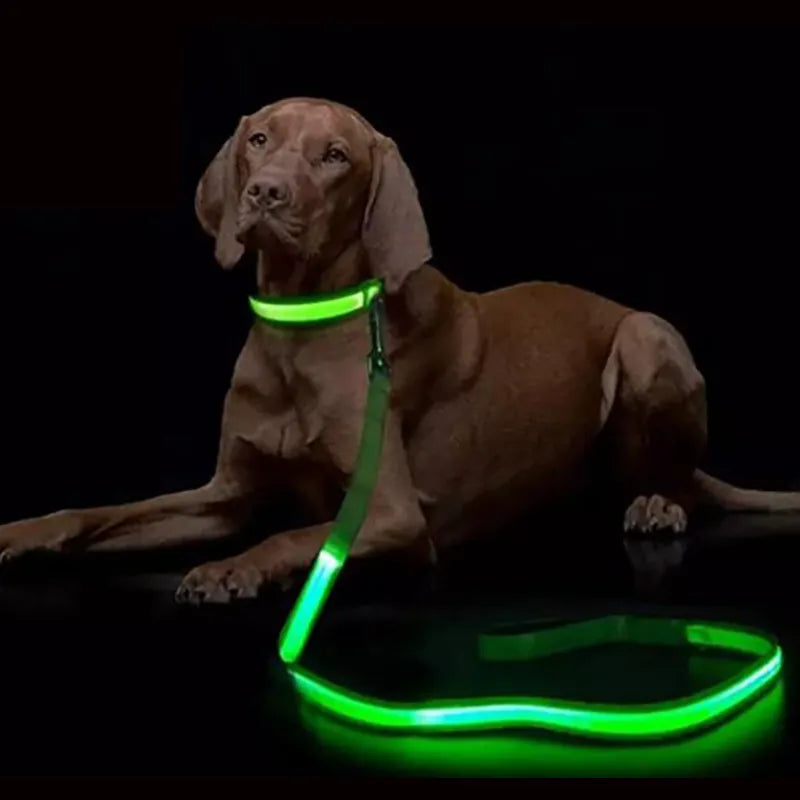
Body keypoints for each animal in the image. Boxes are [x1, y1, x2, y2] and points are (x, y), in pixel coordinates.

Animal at [1, 97, 800, 604]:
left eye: (334, 156)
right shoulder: (221, 497)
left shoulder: (389, 514)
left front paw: (233, 571)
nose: (265, 193)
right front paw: (23, 529)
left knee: (677, 479)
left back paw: (659, 503)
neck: (297, 330)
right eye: (260, 139)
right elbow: (100, 512)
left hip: (646, 333)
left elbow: (289, 534)